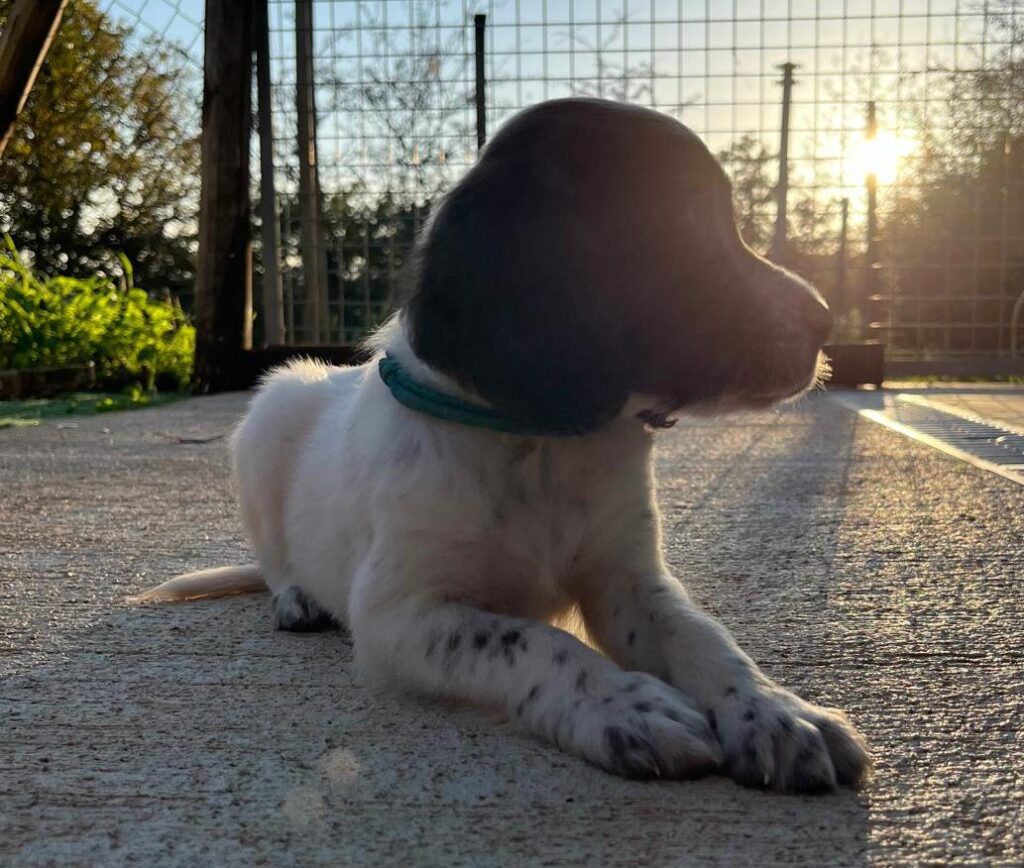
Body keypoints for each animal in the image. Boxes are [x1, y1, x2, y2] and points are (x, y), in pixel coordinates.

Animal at [140, 96, 868, 794]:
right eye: (685, 221)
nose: (826, 321)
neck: (537, 443)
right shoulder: (396, 612)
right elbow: (532, 641)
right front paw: (627, 707)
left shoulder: (629, 579)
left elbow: (706, 638)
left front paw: (777, 713)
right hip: (271, 412)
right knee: (274, 560)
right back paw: (298, 598)